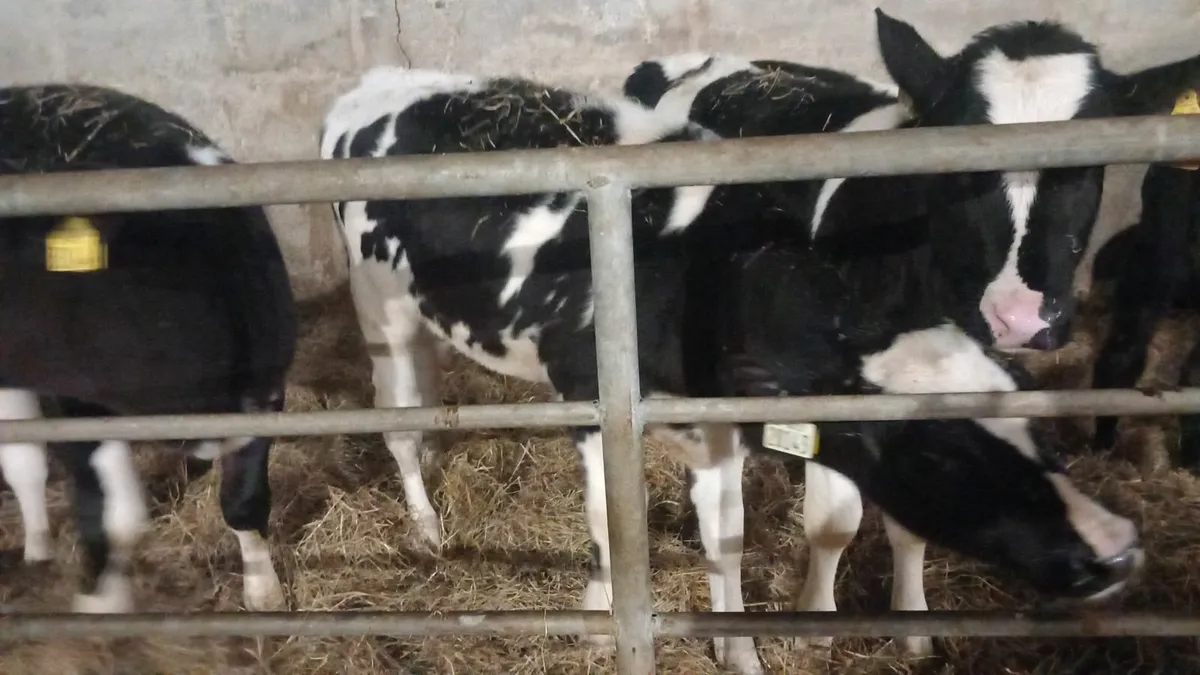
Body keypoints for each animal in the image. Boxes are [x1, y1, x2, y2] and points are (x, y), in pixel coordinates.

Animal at [0, 83, 297, 614]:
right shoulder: (75, 401)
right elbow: (111, 517)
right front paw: (102, 603)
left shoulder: (264, 392)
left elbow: (244, 499)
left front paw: (264, 592)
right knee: (25, 461)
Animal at [318, 51, 1155, 674]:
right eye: (938, 455)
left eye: (1035, 424)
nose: (1117, 548)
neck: (701, 263)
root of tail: (381, 79)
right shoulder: (592, 398)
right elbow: (607, 520)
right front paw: (597, 613)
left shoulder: (719, 423)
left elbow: (727, 541)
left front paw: (738, 650)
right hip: (378, 305)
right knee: (398, 424)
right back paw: (428, 528)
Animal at [624, 9, 1200, 656]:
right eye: (957, 162)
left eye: (1084, 165)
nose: (1021, 317)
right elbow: (834, 523)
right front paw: (816, 624)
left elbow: (911, 525)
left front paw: (914, 627)